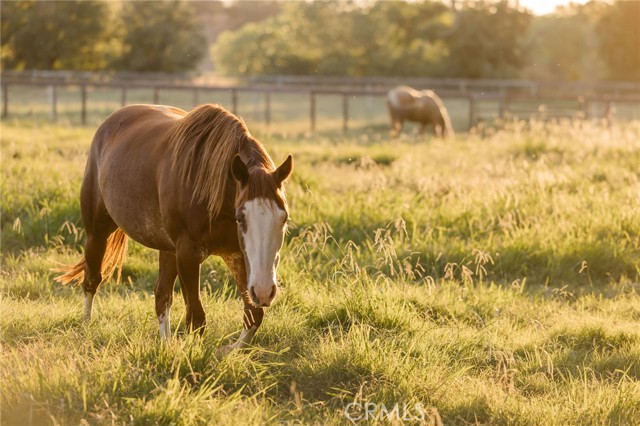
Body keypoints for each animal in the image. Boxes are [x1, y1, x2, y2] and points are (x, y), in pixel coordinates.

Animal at [56, 103, 294, 350]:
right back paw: (86, 326)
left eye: (284, 218)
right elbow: (196, 319)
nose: (265, 291)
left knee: (162, 295)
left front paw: (227, 352)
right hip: (97, 233)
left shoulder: (237, 255)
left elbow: (253, 315)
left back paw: (165, 343)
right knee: (92, 280)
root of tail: (110, 122)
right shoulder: (188, 255)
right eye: (241, 218)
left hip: (168, 249)